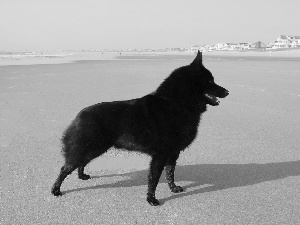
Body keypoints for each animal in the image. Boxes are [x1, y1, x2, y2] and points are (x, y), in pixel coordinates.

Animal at [52, 51, 230, 206]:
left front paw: (173, 189)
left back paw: (82, 176)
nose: (228, 92)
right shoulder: (160, 155)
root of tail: (79, 115)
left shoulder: (173, 153)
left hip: (94, 149)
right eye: (210, 81)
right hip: (89, 148)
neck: (176, 103)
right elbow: (154, 179)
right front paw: (151, 199)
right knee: (65, 168)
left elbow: (170, 173)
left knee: (81, 163)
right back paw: (55, 190)